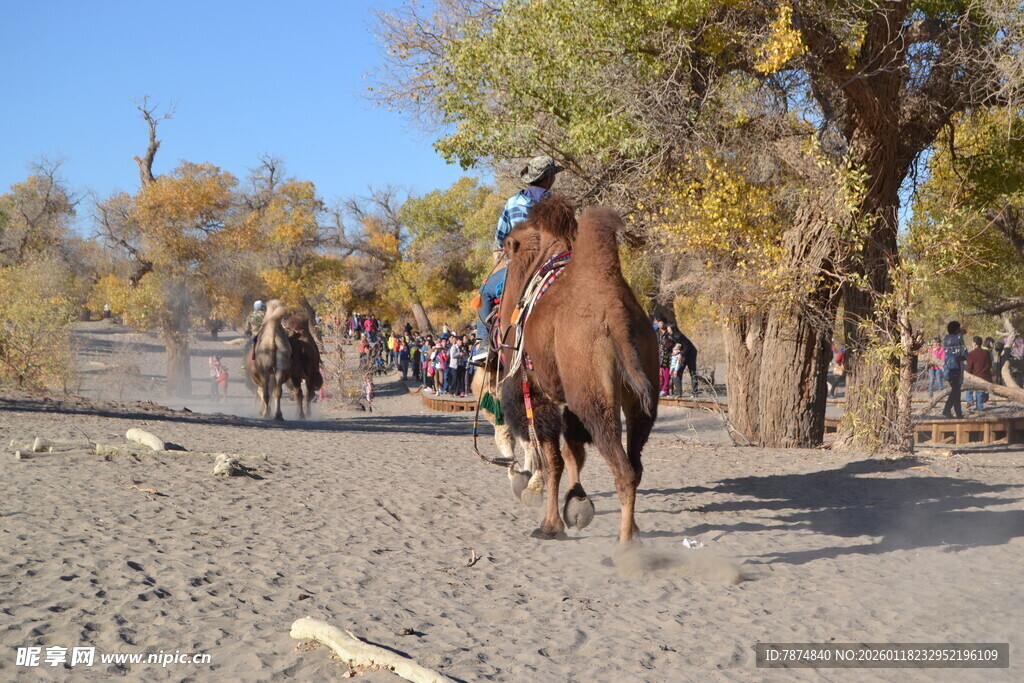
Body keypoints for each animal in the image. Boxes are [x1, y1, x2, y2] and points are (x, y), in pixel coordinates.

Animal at [498, 196, 659, 544]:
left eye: (506, 247)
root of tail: (616, 312)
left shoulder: (537, 389)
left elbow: (553, 461)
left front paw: (550, 525)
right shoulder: (567, 393)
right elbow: (572, 451)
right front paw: (578, 506)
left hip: (593, 396)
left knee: (624, 470)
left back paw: (625, 546)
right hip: (640, 392)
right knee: (635, 463)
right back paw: (635, 531)